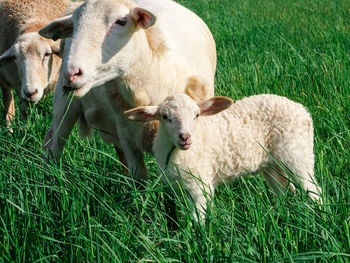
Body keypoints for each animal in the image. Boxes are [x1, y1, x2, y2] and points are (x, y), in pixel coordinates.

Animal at [38, 0, 216, 184]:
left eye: (121, 21)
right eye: (73, 25)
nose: (71, 73)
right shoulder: (127, 135)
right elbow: (139, 178)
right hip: (65, 103)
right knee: (53, 144)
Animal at [125, 94, 322, 222]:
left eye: (196, 115)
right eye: (165, 117)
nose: (185, 137)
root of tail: (302, 109)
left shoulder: (200, 183)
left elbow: (196, 219)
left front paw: (197, 240)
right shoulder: (181, 185)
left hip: (297, 153)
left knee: (313, 190)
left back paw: (317, 216)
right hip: (271, 165)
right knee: (284, 189)